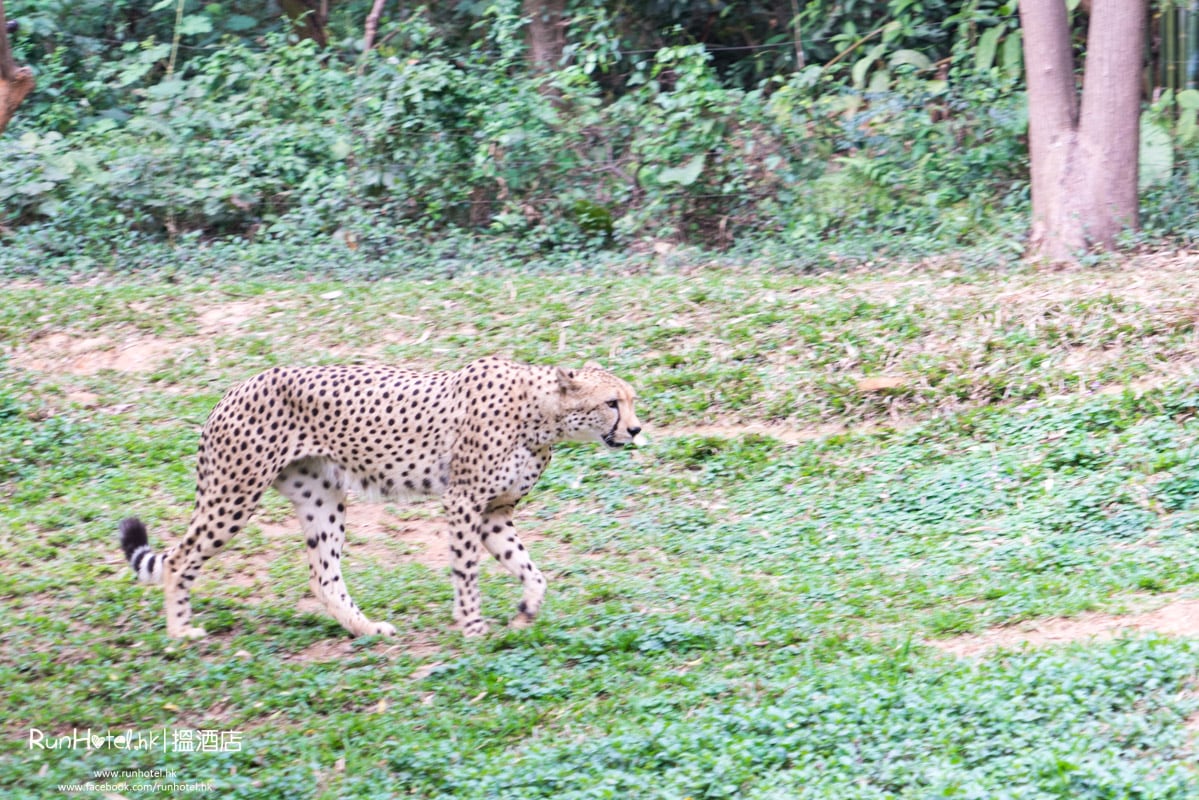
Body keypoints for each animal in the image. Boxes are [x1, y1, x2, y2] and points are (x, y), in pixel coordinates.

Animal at [121, 357, 642, 638]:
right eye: (611, 403)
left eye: (631, 400)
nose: (636, 429)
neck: (542, 414)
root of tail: (232, 389)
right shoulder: (464, 502)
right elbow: (467, 571)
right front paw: (472, 627)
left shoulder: (495, 512)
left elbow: (531, 570)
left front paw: (527, 609)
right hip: (234, 493)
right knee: (179, 558)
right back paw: (180, 632)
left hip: (321, 498)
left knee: (323, 577)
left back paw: (367, 630)